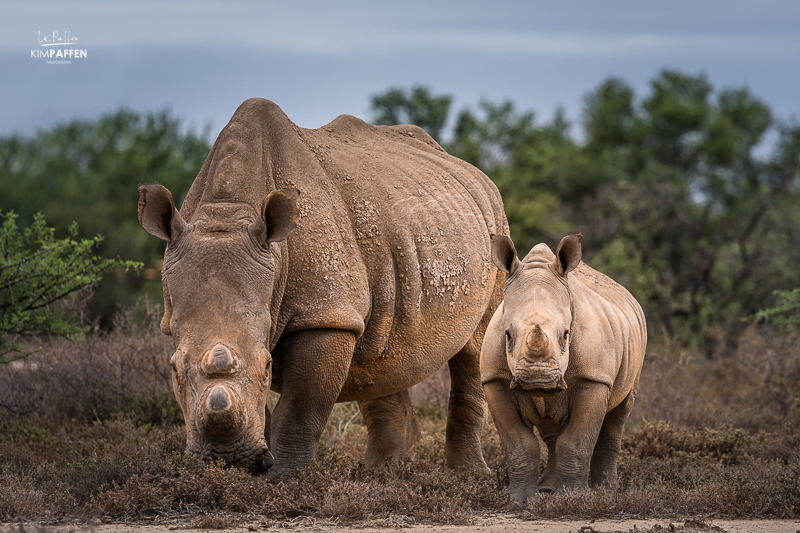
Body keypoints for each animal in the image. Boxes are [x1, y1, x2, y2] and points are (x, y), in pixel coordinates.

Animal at [138, 97, 506, 476]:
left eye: (266, 365)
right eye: (173, 368)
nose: (225, 460)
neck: (227, 212)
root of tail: (471, 171)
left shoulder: (325, 314)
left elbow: (298, 410)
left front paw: (287, 479)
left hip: (494, 223)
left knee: (474, 346)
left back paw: (467, 475)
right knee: (380, 348)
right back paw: (375, 475)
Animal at [478, 235, 648, 500]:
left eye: (566, 334)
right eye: (507, 335)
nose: (538, 380)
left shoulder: (594, 378)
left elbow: (576, 442)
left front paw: (575, 499)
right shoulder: (494, 380)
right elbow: (519, 444)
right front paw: (519, 500)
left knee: (619, 413)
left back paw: (607, 492)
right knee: (551, 430)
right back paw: (547, 489)